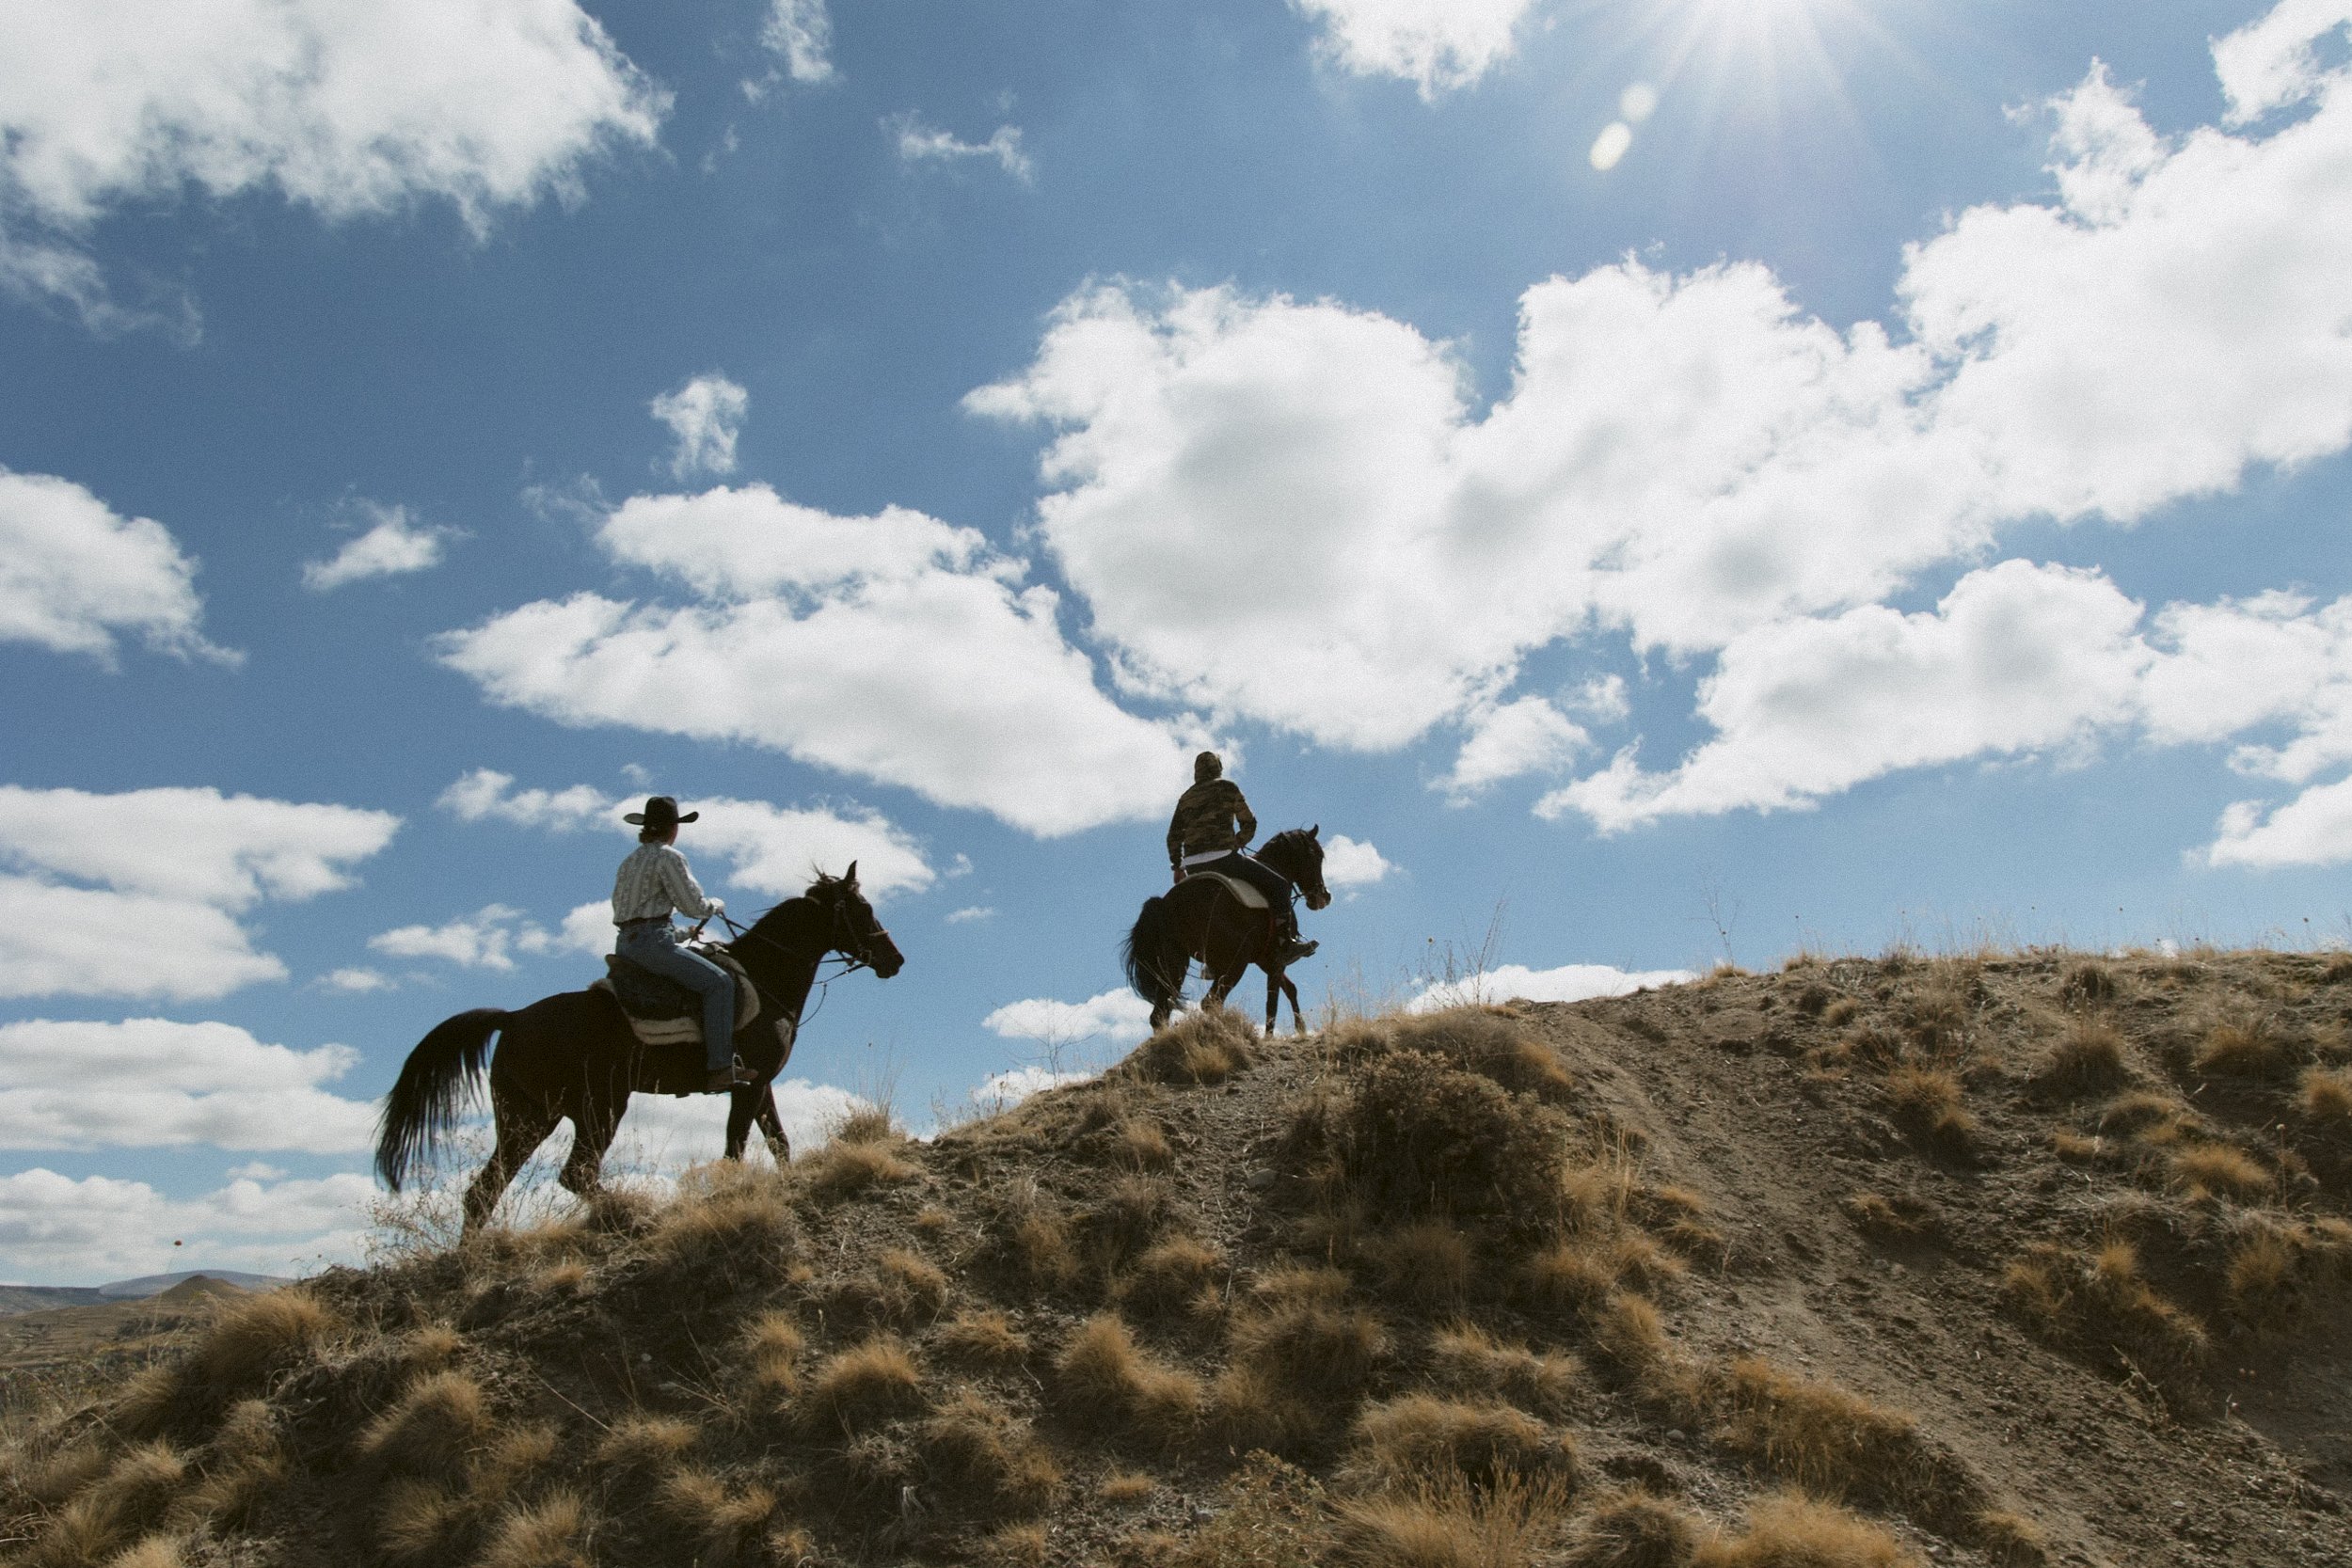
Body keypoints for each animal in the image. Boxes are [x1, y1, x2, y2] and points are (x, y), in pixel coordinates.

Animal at [374, 865, 903, 1234]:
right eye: (863, 910)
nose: (894, 959)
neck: (765, 977)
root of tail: (515, 1017)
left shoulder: (760, 1085)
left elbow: (779, 1143)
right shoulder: (745, 1086)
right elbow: (736, 1150)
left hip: (528, 1117)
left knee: (483, 1193)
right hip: (600, 1107)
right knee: (575, 1174)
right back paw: (628, 1213)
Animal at [1121, 827, 1332, 1035]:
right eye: (1316, 855)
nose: (1324, 897)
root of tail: (1165, 904)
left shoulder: (1264, 960)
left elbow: (1290, 989)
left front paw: (1301, 1029)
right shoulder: (1276, 959)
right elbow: (1272, 1004)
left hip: (1175, 965)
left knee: (1160, 1015)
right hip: (1235, 962)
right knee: (1209, 1002)